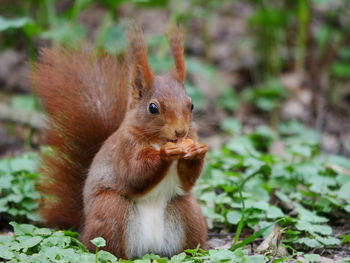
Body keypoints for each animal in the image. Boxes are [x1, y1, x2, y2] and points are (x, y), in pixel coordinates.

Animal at [31, 24, 208, 260]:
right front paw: (164, 154)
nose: (180, 131)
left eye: (191, 105)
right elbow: (133, 174)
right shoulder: (124, 149)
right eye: (153, 108)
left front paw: (198, 151)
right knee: (111, 250)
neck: (158, 140)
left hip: (188, 213)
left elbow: (187, 181)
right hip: (110, 211)